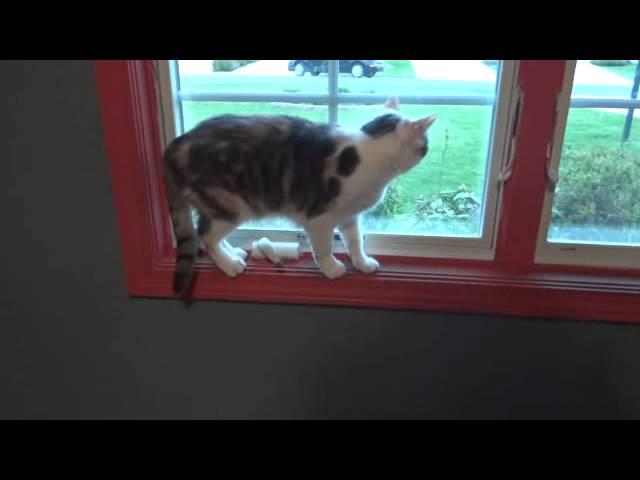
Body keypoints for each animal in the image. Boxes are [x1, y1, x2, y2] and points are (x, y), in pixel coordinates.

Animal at [162, 96, 438, 292]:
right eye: (425, 147)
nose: (426, 152)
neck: (370, 154)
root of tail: (178, 144)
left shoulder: (350, 215)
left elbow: (355, 241)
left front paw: (362, 263)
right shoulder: (321, 219)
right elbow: (324, 247)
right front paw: (331, 268)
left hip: (221, 208)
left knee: (209, 232)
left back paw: (233, 253)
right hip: (230, 204)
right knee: (205, 235)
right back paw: (229, 264)